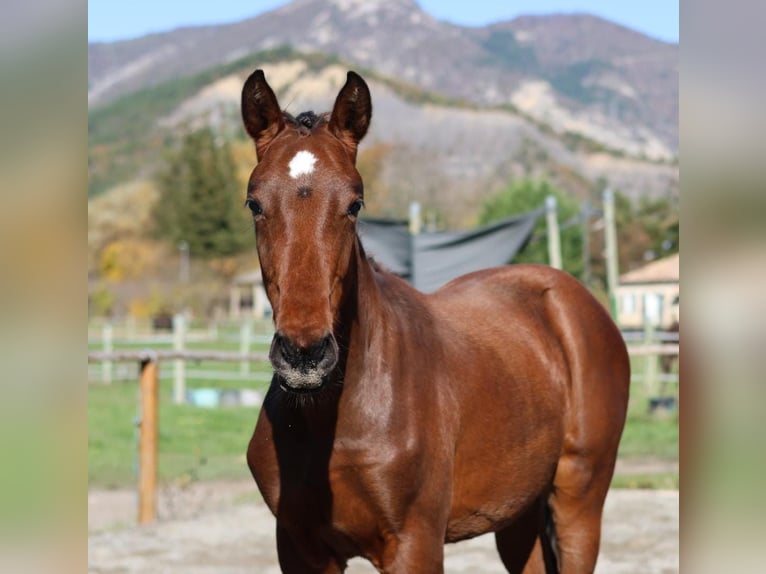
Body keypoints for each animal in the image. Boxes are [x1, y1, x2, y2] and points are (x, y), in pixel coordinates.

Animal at [242, 70, 632, 572]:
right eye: (254, 203)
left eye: (355, 204)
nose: (303, 356)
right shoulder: (299, 549)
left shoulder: (416, 543)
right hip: (518, 517)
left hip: (579, 504)